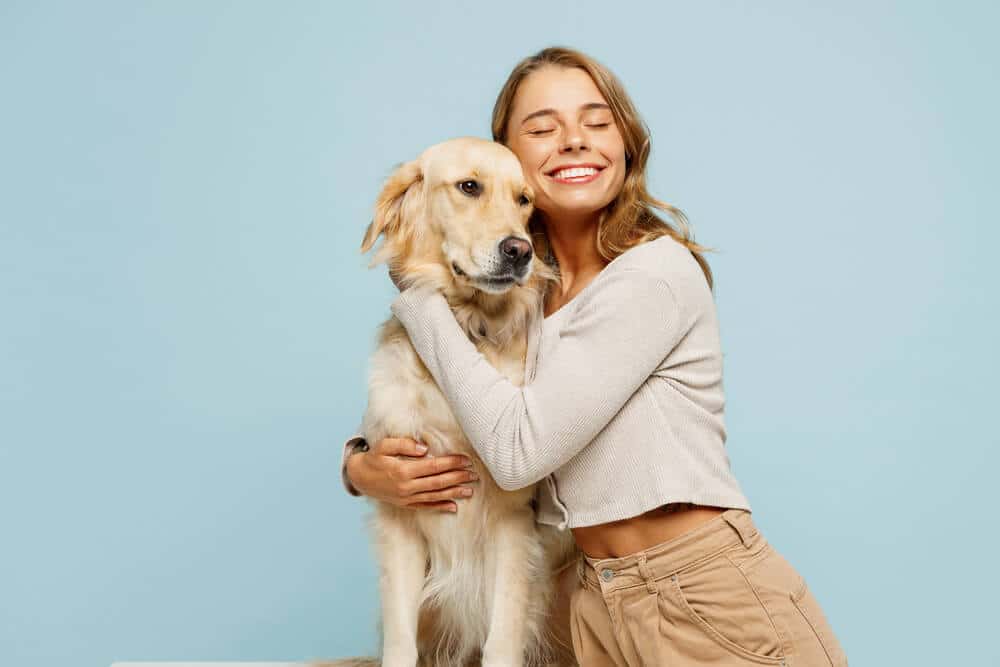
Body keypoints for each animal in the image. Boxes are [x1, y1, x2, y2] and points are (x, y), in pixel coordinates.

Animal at [326, 136, 580, 667]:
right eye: (468, 187)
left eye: (524, 200)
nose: (520, 251)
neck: (467, 328)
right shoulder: (400, 516)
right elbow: (400, 643)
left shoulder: (512, 523)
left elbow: (501, 641)